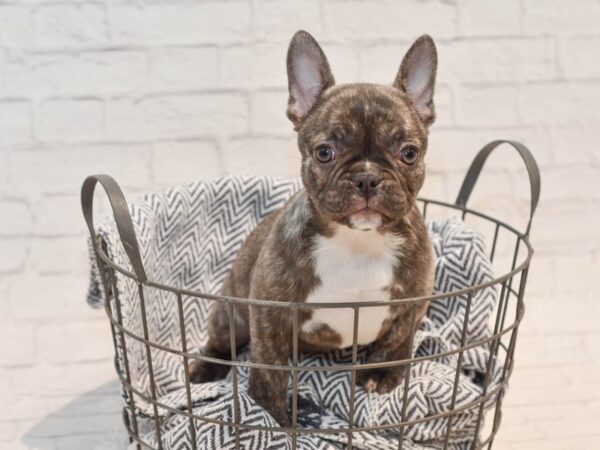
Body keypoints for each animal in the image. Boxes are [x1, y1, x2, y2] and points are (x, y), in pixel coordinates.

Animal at [191, 30, 436, 426]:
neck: (357, 242)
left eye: (409, 153)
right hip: (232, 314)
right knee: (221, 341)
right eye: (324, 152)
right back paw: (206, 368)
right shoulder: (270, 313)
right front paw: (275, 415)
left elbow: (397, 341)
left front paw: (382, 372)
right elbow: (270, 369)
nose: (367, 178)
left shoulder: (414, 299)